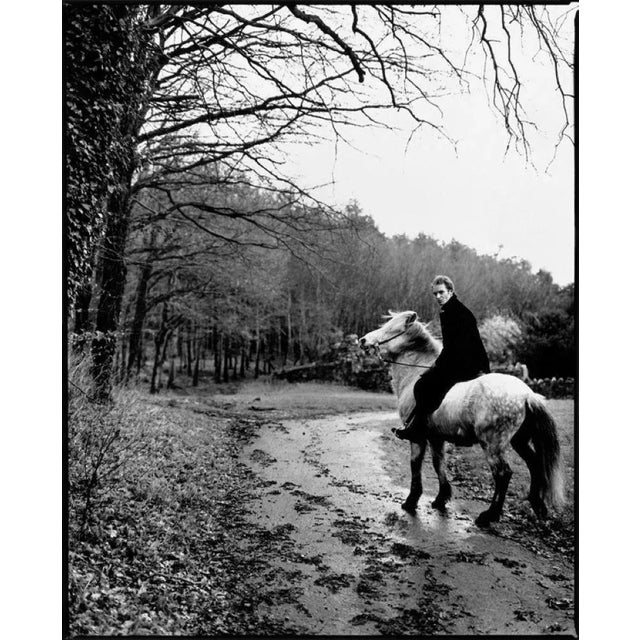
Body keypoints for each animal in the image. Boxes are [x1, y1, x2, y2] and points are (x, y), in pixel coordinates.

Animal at [359, 310, 564, 527]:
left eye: (392, 328)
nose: (363, 340)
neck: (416, 373)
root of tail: (527, 394)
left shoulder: (417, 437)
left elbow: (415, 465)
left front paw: (411, 501)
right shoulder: (436, 438)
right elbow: (438, 464)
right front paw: (441, 498)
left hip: (492, 444)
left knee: (503, 474)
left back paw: (489, 515)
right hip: (519, 441)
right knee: (534, 464)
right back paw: (537, 505)